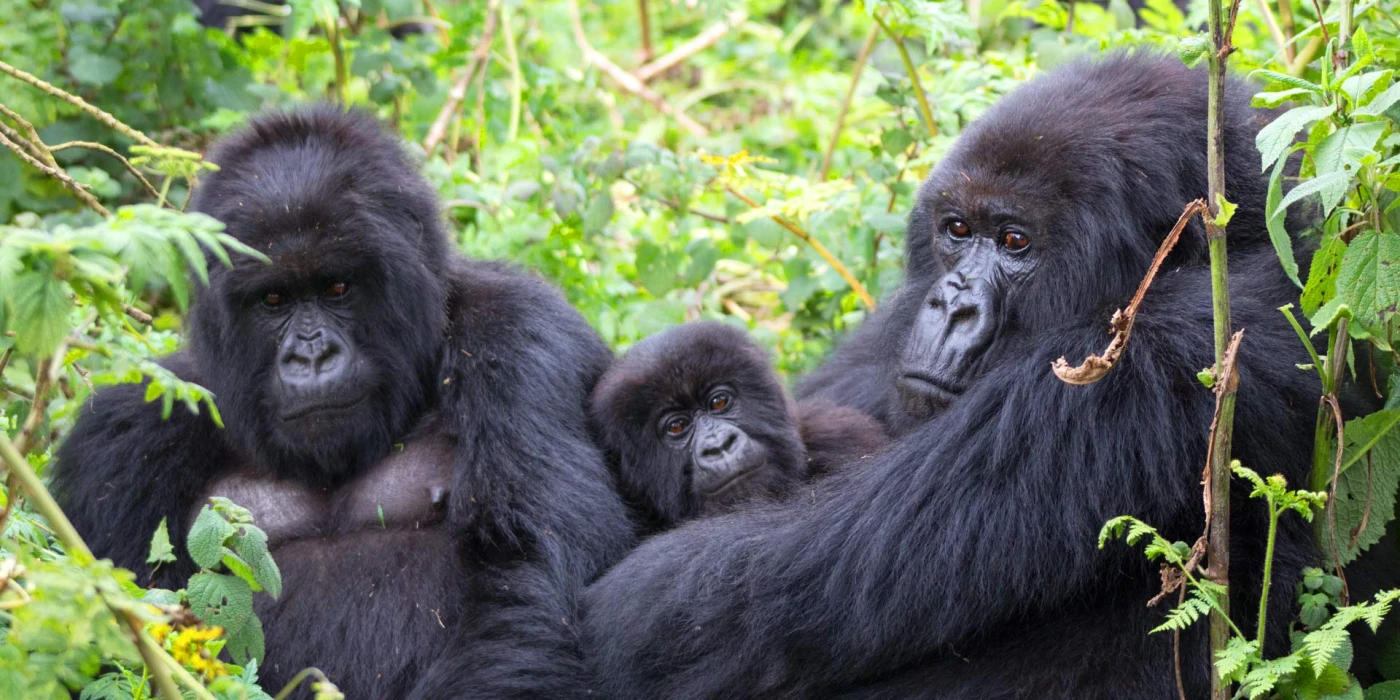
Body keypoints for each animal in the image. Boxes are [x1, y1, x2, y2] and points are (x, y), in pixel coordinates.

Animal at [53, 106, 635, 697]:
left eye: (338, 288)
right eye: (273, 299)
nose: (311, 356)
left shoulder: (521, 337)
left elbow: (528, 577)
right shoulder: (125, 433)